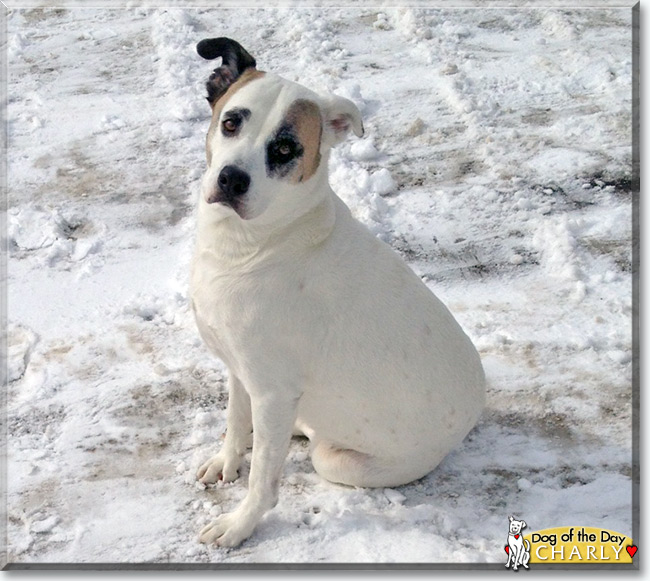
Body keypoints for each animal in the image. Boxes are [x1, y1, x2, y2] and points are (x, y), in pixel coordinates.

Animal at [190, 38, 484, 548]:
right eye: (231, 122)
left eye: (285, 148)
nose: (231, 179)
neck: (254, 245)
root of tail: (473, 411)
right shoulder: (241, 370)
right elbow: (234, 421)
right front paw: (228, 461)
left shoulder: (271, 388)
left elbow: (262, 480)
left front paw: (239, 525)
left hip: (341, 460)